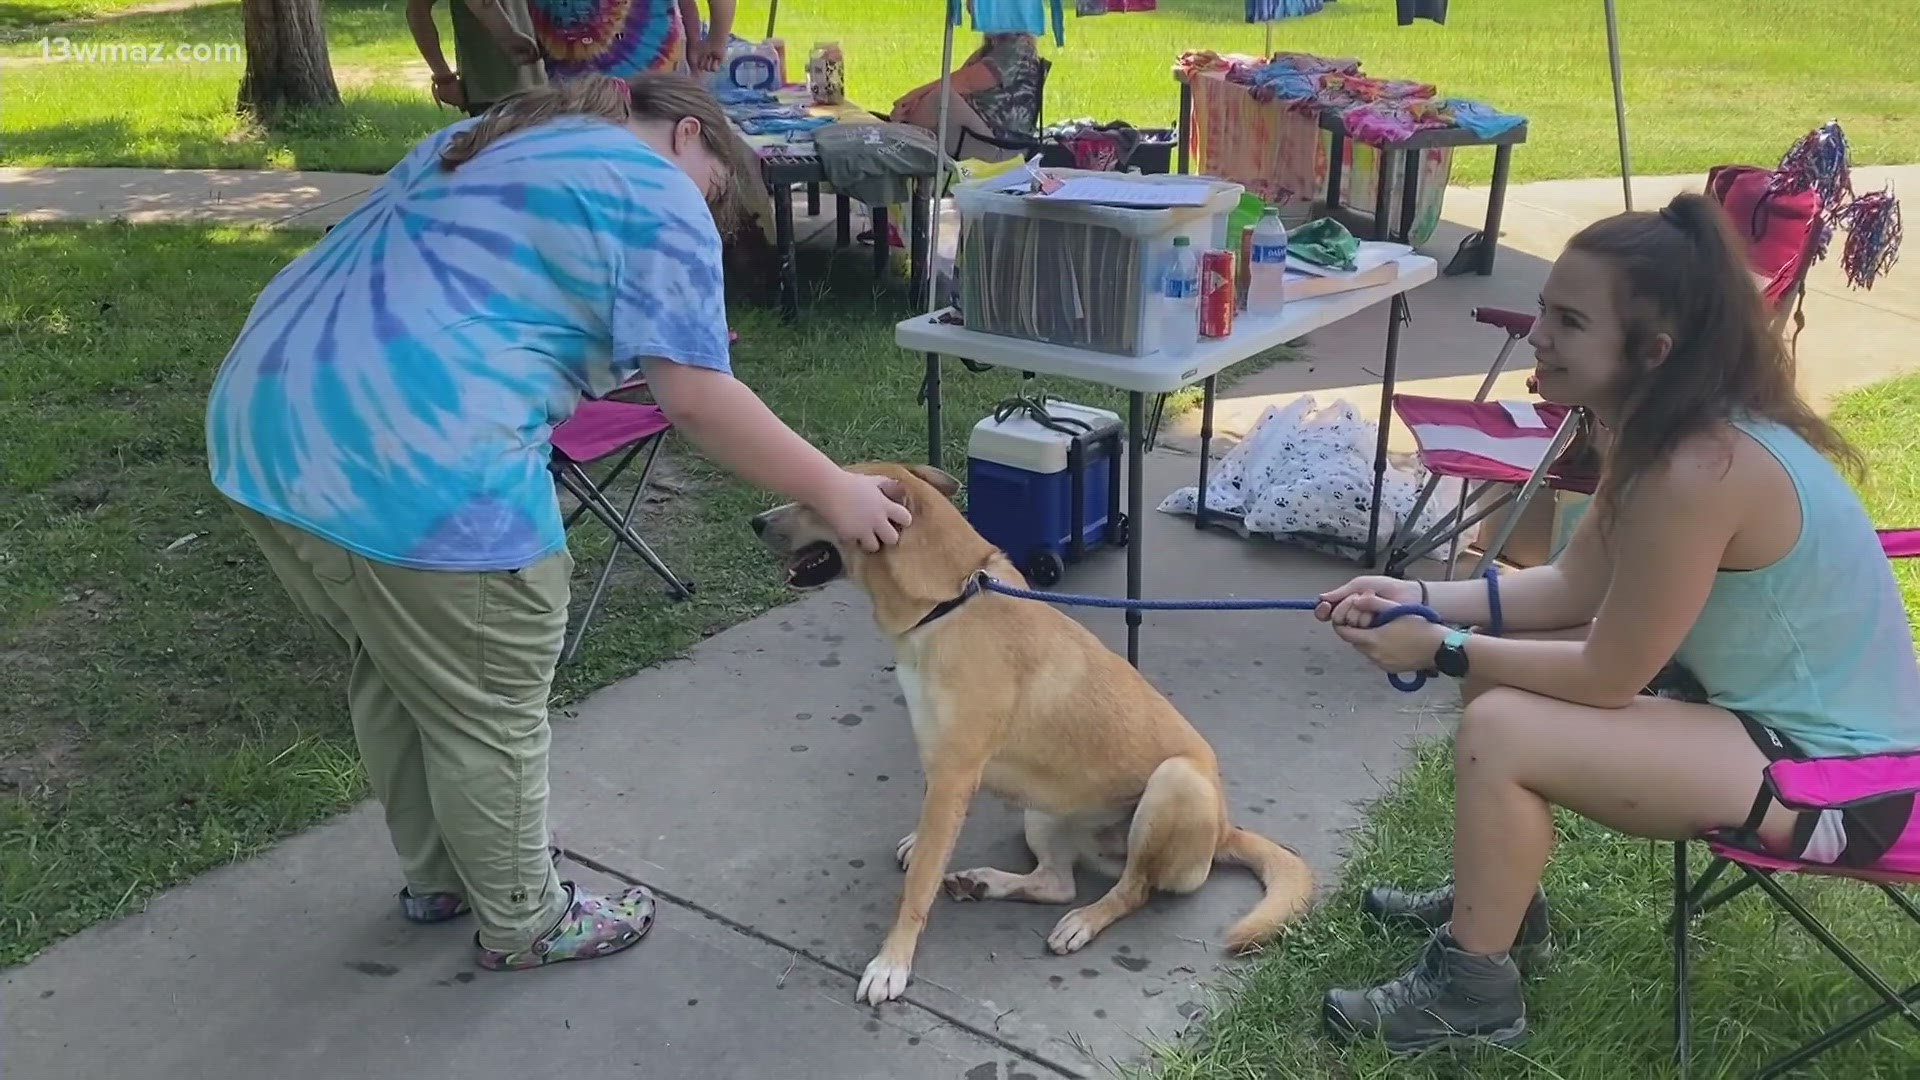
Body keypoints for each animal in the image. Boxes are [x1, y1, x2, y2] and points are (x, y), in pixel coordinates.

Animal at [741, 461, 1313, 999]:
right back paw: (985, 884)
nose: (755, 522)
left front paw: (892, 963)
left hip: (1175, 783)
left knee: (1132, 889)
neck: (947, 602)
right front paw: (919, 842)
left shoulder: (955, 773)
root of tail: (1226, 829)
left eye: (816, 499)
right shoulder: (942, 766)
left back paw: (1084, 921)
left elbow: (919, 886)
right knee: (1057, 882)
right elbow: (929, 840)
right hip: (1043, 812)